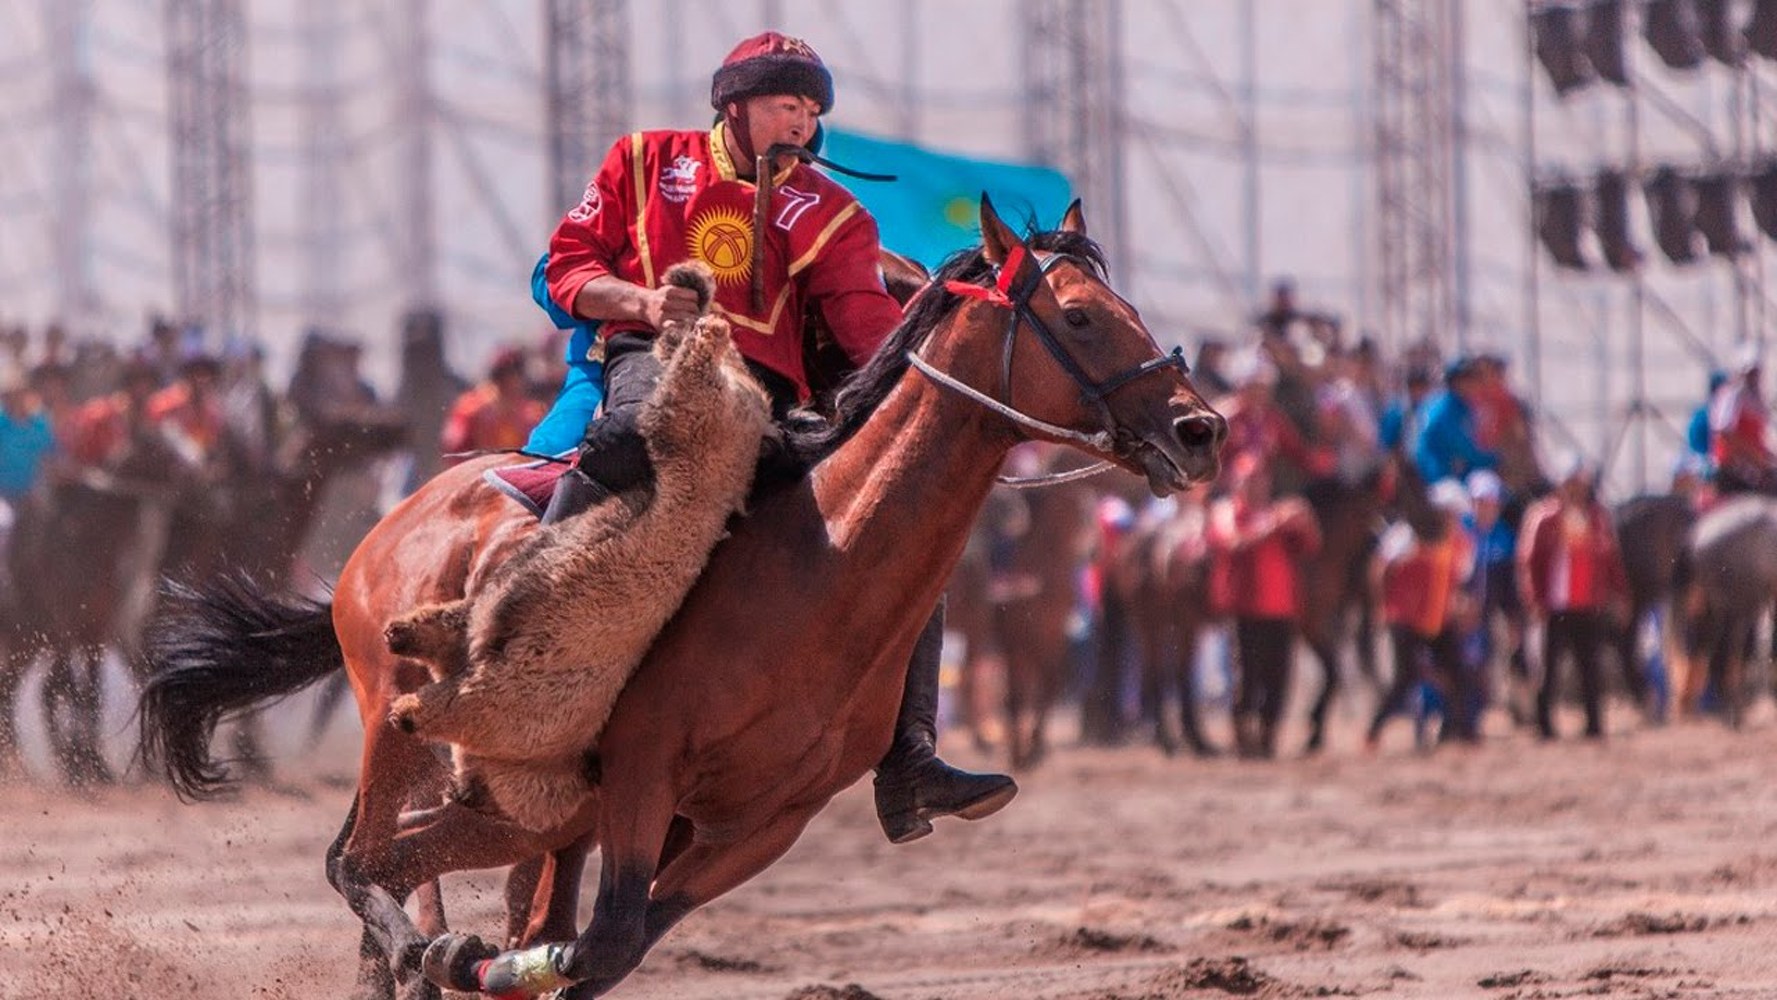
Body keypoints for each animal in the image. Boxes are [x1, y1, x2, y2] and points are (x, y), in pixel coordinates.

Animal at [138, 198, 1229, 1000]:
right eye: (1081, 315)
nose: (1201, 428)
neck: (815, 582)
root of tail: (390, 525)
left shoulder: (753, 825)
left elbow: (602, 948)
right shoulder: (639, 769)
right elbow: (590, 939)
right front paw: (464, 960)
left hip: (522, 807)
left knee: (398, 867)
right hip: (396, 727)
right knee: (357, 863)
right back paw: (423, 948)